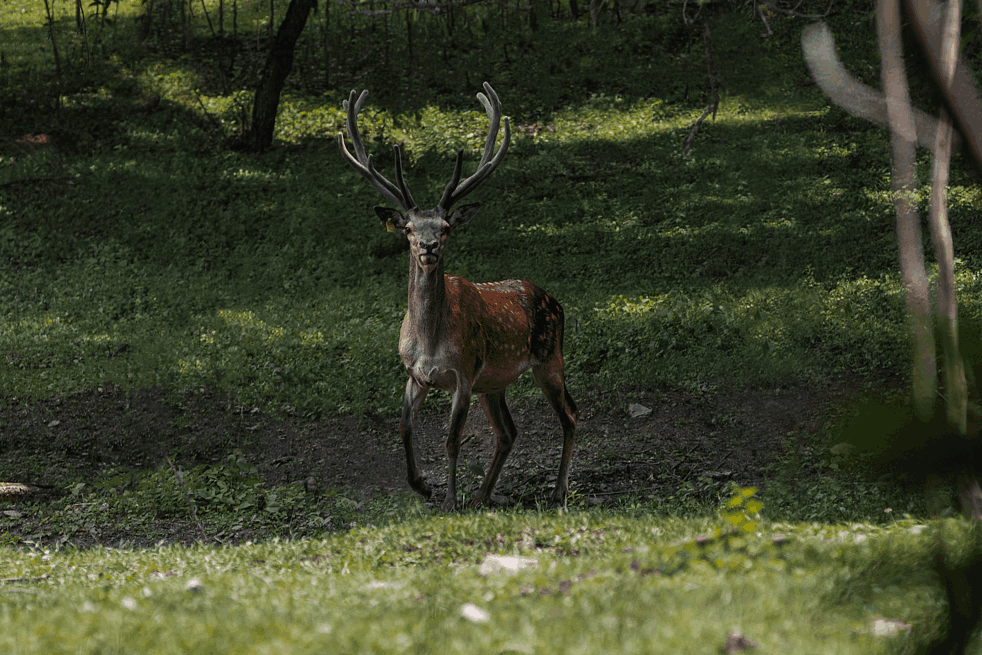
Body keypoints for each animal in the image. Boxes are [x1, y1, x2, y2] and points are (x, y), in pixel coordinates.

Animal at [337, 83, 578, 511]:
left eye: (446, 226)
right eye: (409, 228)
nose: (429, 246)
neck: (430, 341)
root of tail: (555, 300)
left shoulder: (464, 375)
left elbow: (451, 441)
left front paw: (449, 499)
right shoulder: (415, 374)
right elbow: (403, 426)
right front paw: (421, 486)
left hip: (550, 359)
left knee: (569, 416)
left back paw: (557, 491)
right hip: (494, 383)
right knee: (509, 431)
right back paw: (483, 494)